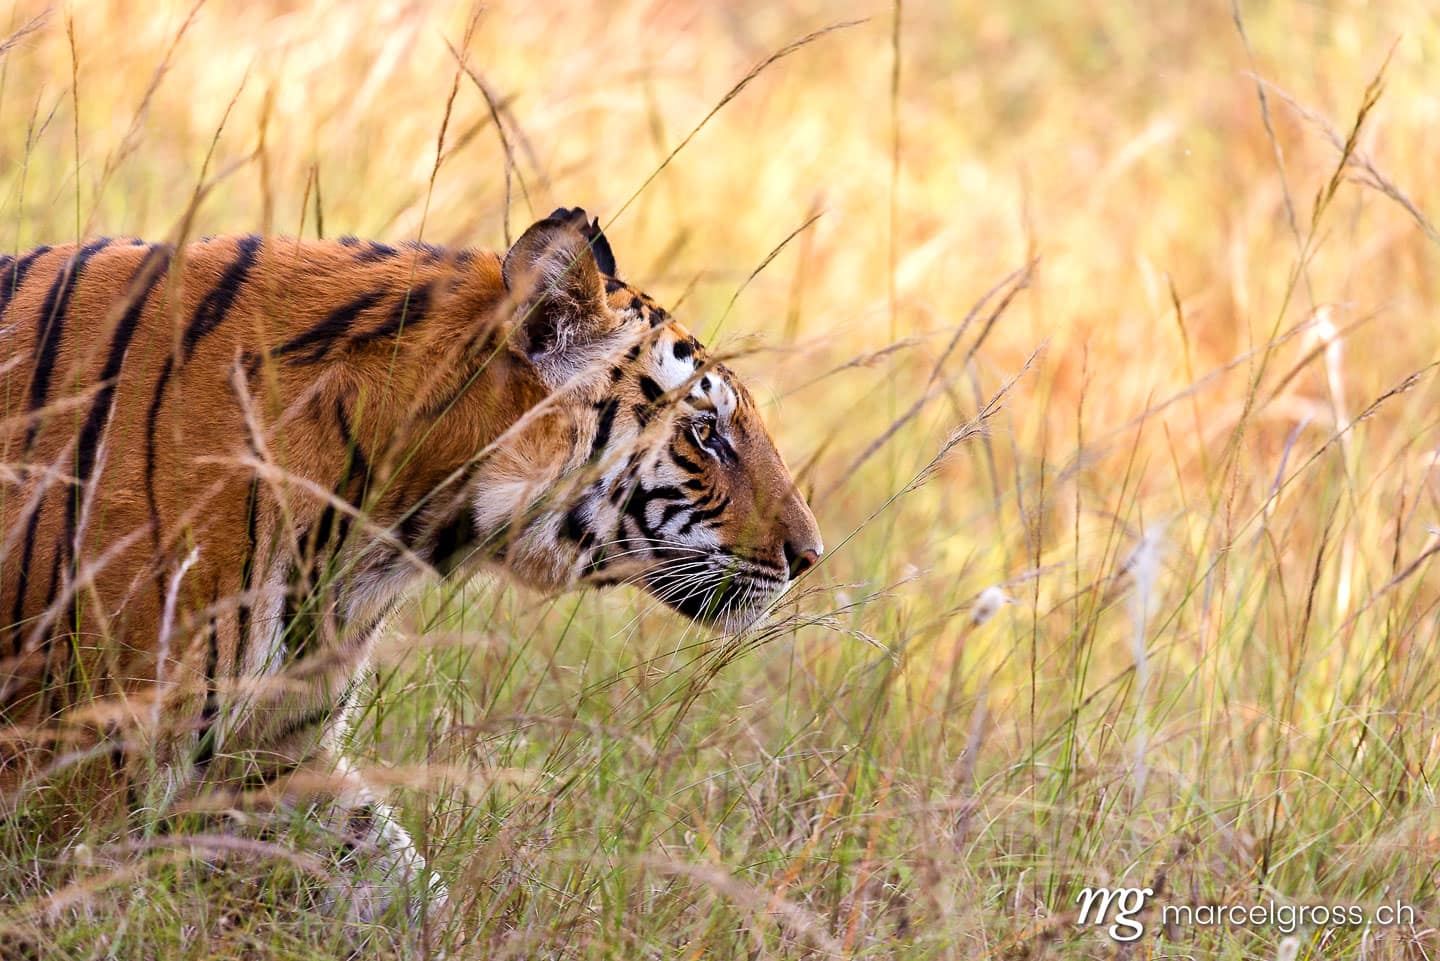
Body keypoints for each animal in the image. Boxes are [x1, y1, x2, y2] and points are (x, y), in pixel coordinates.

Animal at [0, 206, 822, 925]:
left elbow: (391, 880)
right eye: (706, 432)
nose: (809, 556)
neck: (382, 534)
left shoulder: (273, 752)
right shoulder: (81, 758)